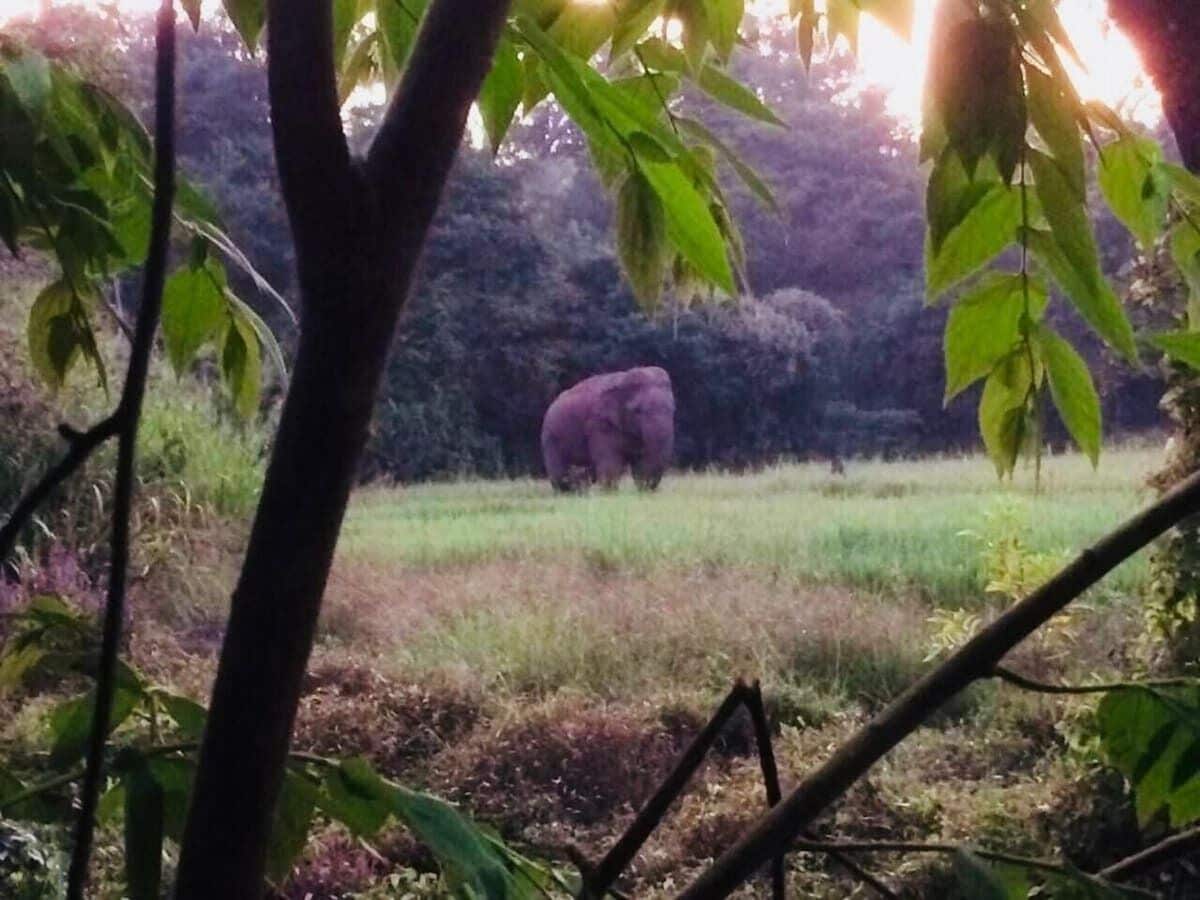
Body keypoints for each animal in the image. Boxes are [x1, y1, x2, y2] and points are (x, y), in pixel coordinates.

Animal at [541, 366, 675, 492]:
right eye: (637, 411)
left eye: (673, 409)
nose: (650, 488)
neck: (623, 379)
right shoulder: (599, 424)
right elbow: (610, 463)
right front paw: (610, 493)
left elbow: (641, 461)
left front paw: (643, 490)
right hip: (551, 438)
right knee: (561, 474)